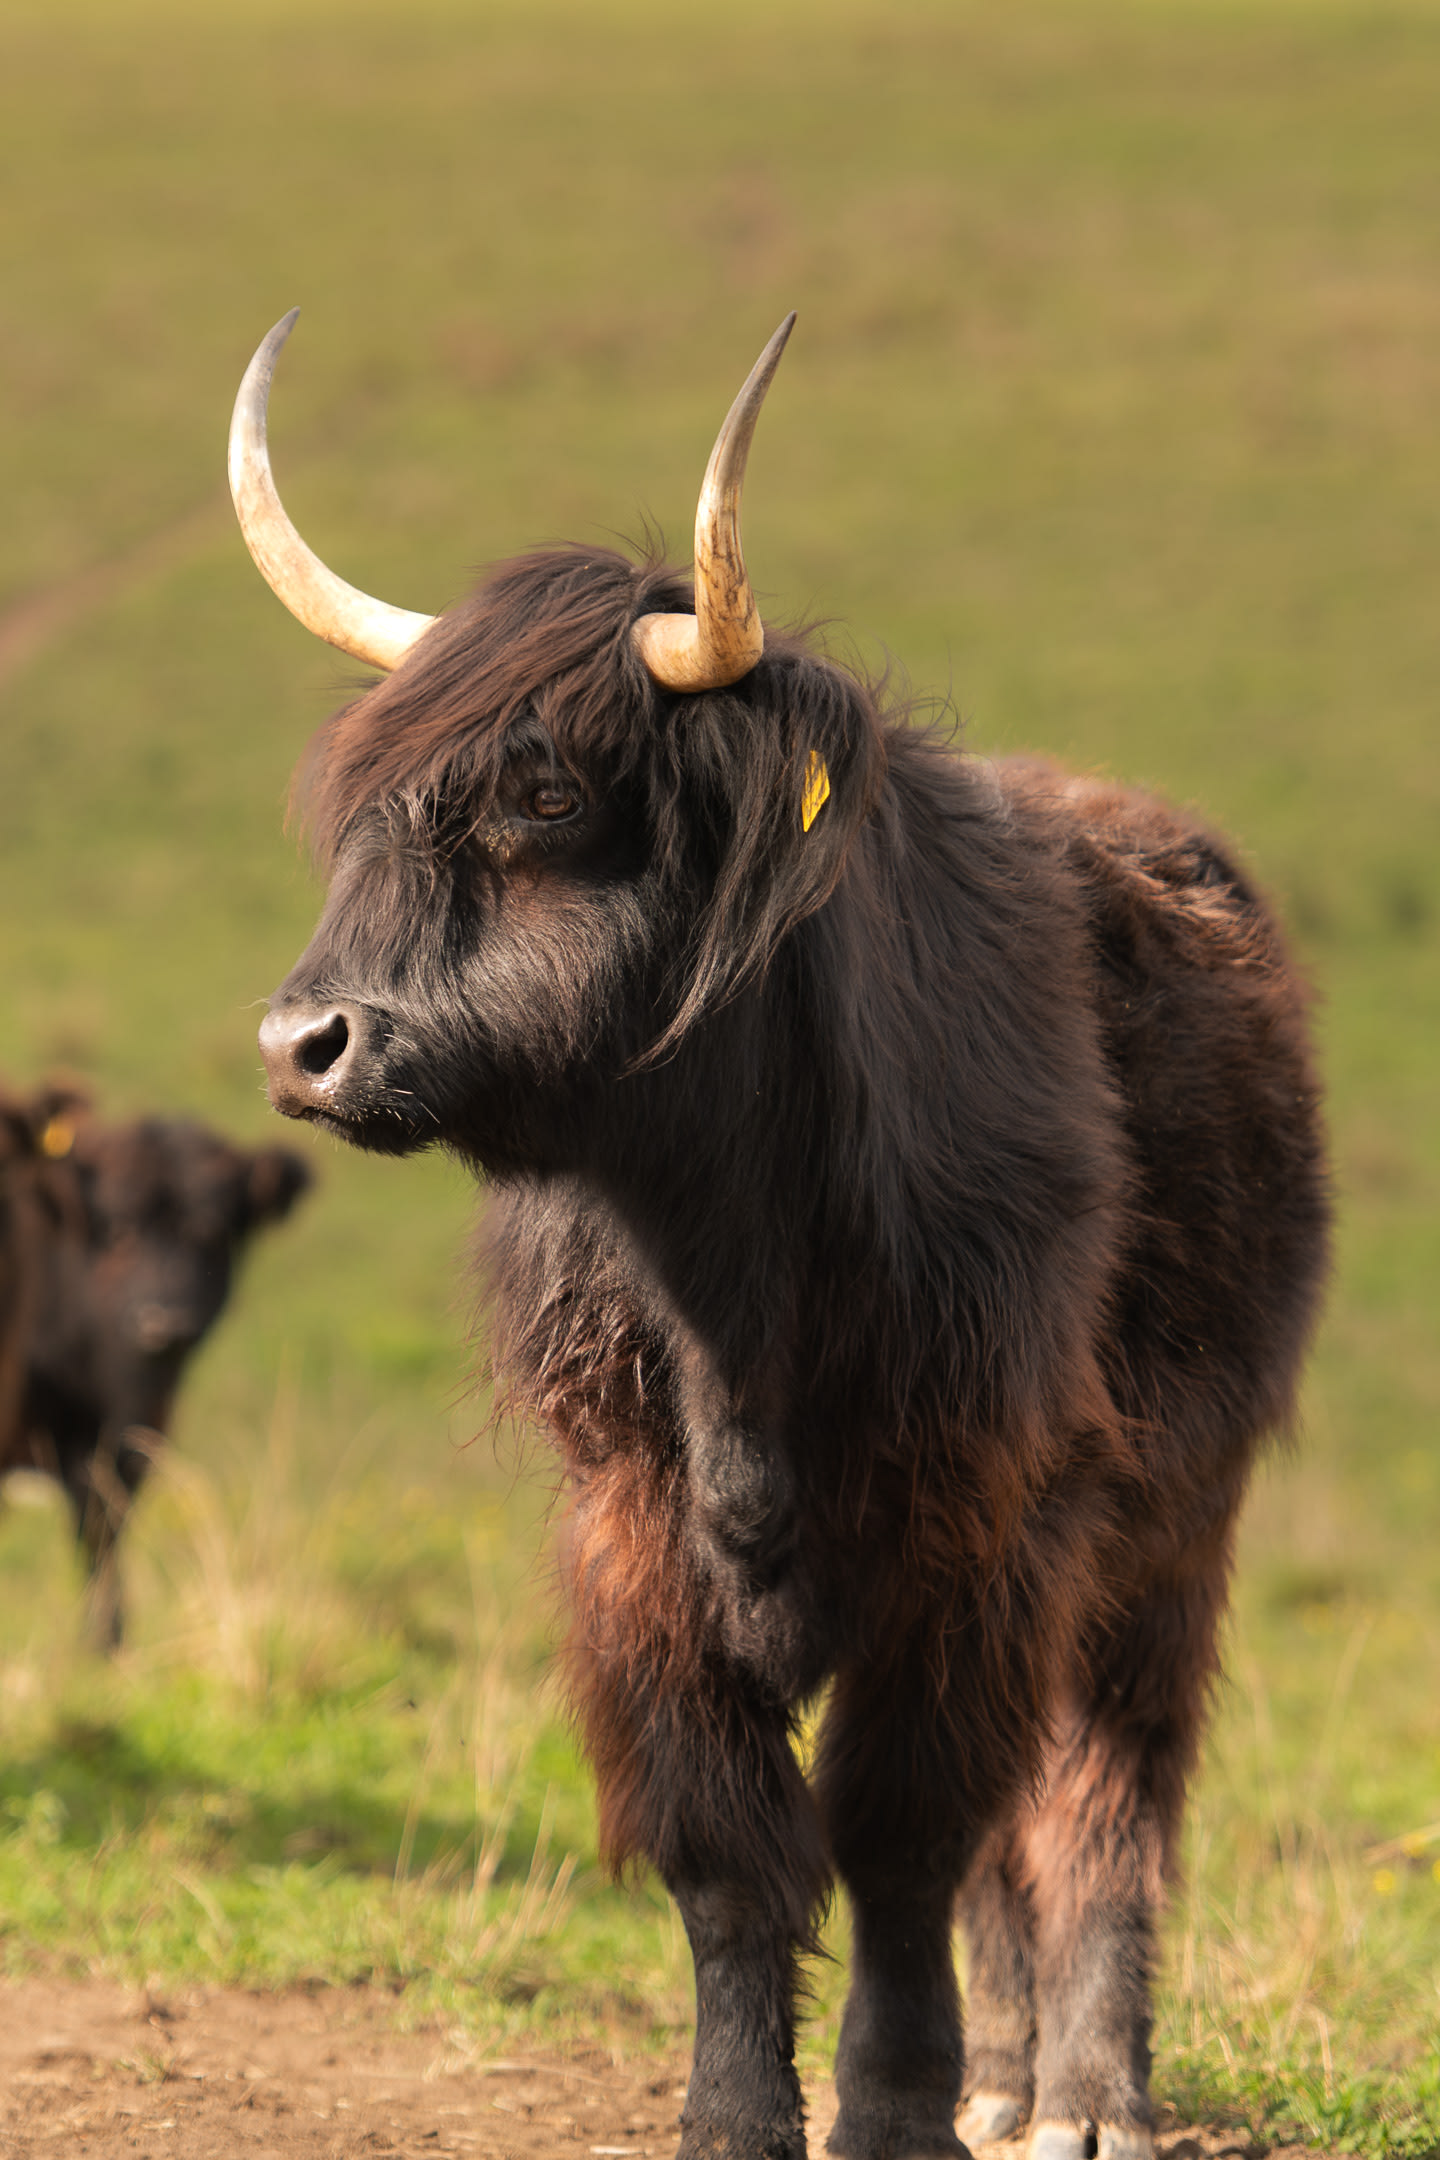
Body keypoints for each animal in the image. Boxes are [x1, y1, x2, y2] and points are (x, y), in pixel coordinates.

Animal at [0, 1081, 311, 1645]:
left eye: (213, 1232)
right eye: (118, 1228)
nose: (164, 1322)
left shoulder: (121, 1449)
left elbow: (102, 1543)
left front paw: (106, 1648)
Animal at [230, 311, 1329, 2160]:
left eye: (541, 787)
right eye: (361, 797)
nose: (303, 1045)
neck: (726, 1281)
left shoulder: (976, 1517)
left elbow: (901, 1831)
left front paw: (890, 2109)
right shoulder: (628, 1533)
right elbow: (731, 1851)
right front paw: (743, 2119)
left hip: (1172, 1514)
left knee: (1107, 1790)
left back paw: (1090, 2096)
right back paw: (1010, 2080)